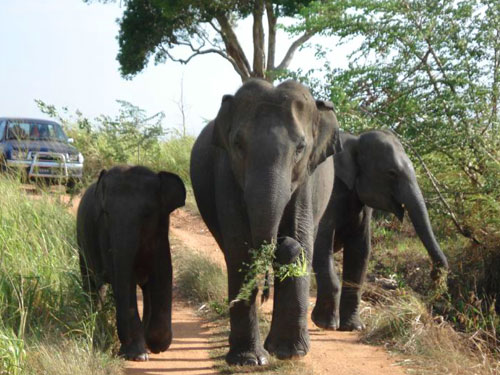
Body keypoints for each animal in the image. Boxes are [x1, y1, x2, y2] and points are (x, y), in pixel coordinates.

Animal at [77, 166, 187, 362]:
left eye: (147, 214)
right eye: (106, 214)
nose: (123, 349)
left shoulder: (160, 239)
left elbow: (162, 276)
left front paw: (156, 345)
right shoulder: (105, 237)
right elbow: (123, 280)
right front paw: (138, 354)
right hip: (81, 241)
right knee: (93, 285)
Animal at [190, 80, 340, 368]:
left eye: (300, 148)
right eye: (238, 144)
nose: (279, 242)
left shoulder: (307, 176)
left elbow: (302, 238)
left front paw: (289, 353)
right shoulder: (225, 170)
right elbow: (239, 248)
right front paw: (249, 360)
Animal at [312, 130, 450, 332]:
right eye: (391, 173)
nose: (434, 275)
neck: (354, 141)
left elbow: (360, 250)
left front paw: (354, 328)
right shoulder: (328, 190)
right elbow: (321, 242)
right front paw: (326, 325)